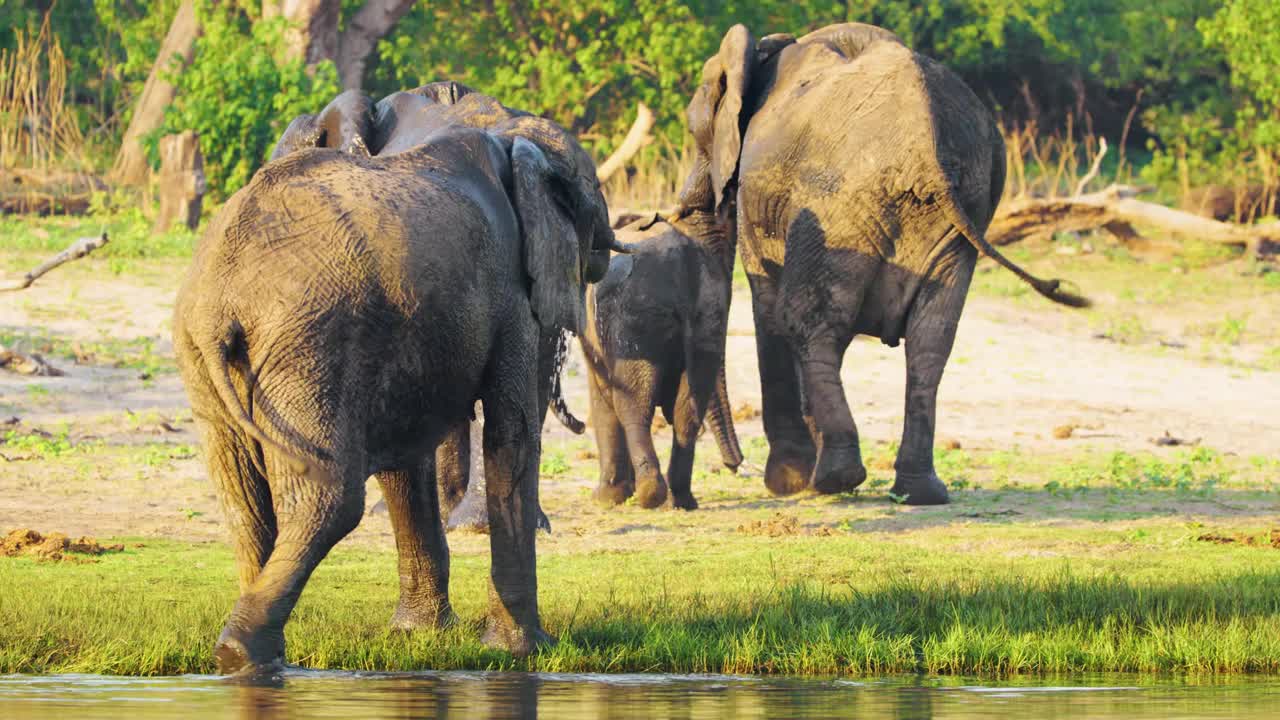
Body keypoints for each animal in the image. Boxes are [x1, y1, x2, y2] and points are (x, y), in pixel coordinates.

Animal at [175, 94, 619, 666]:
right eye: (589, 198)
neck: (504, 134)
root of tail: (219, 300)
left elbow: (408, 461)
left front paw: (421, 637)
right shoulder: (512, 294)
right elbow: (511, 436)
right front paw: (524, 653)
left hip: (208, 356)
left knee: (243, 500)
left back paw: (253, 654)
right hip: (312, 344)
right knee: (330, 498)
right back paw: (242, 653)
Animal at [578, 210, 747, 507]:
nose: (735, 465)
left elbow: (602, 398)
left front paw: (605, 499)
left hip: (636, 320)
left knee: (632, 406)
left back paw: (650, 495)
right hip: (708, 319)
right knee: (687, 412)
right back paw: (680, 500)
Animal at [670, 23, 1090, 504]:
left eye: (694, 131)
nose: (734, 465)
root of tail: (925, 140)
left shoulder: (763, 201)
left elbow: (770, 311)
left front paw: (787, 483)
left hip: (837, 205)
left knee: (808, 321)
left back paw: (833, 480)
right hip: (948, 218)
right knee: (931, 339)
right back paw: (918, 491)